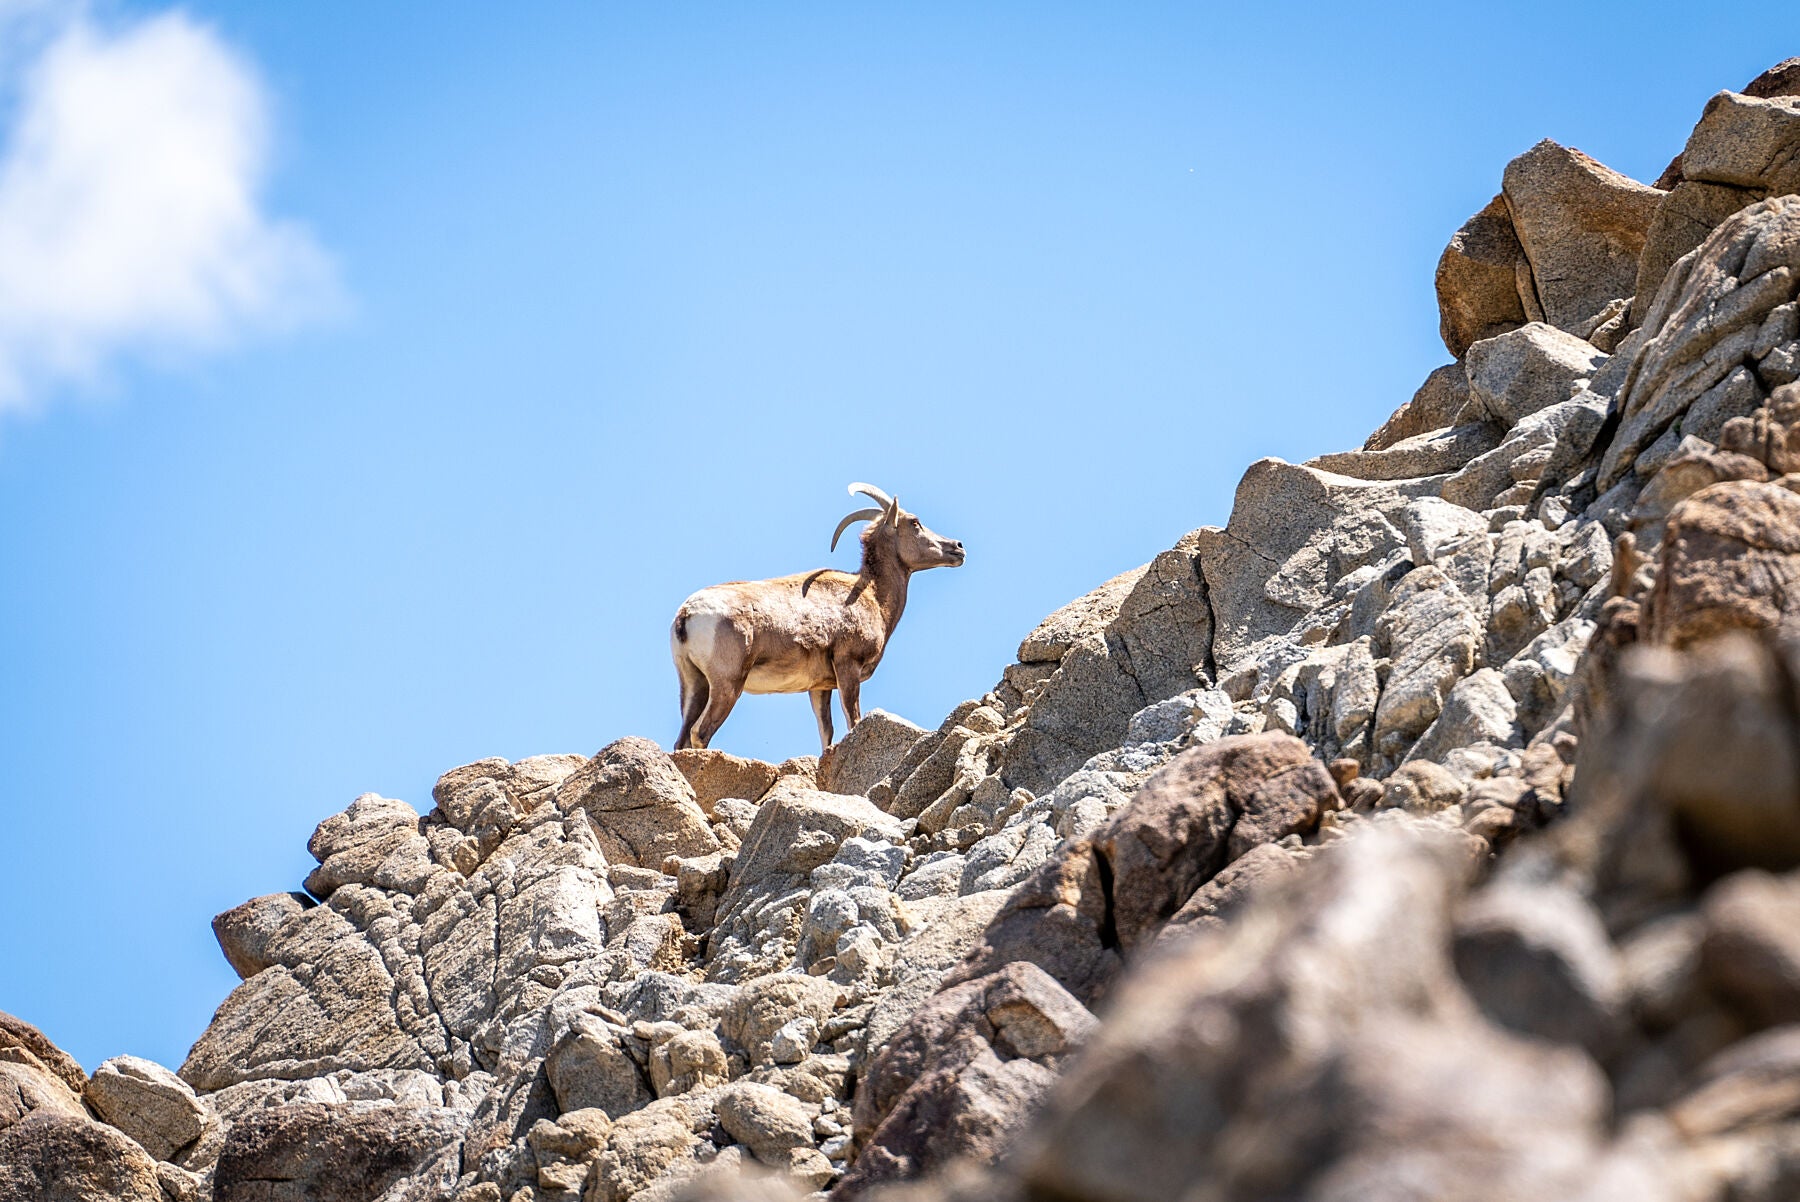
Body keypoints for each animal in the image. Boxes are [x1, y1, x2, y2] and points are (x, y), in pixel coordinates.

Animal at [669, 482, 964, 752]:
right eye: (915, 522)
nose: (958, 548)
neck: (872, 596)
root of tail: (687, 615)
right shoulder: (848, 667)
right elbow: (853, 721)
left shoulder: (820, 688)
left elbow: (827, 733)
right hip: (728, 685)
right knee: (700, 733)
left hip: (694, 685)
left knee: (682, 738)